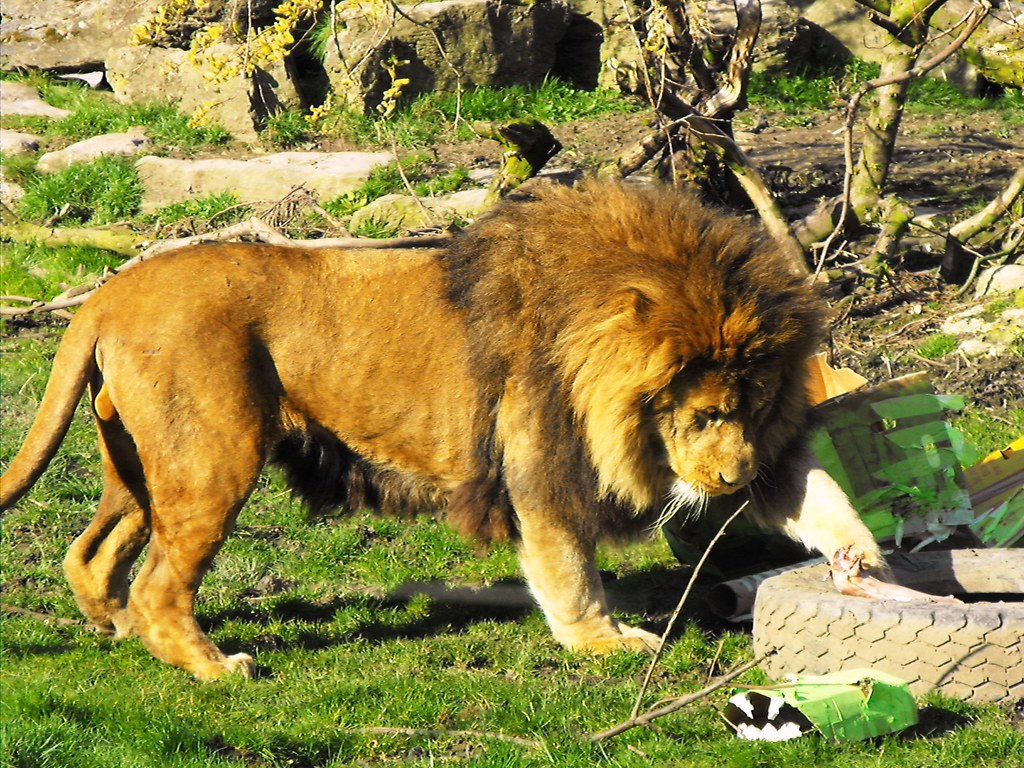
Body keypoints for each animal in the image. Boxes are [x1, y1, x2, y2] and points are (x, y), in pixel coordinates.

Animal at [0, 179, 884, 680]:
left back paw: (118, 627)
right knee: (158, 583)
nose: (732, 478)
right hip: (214, 457)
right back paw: (214, 668)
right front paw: (602, 643)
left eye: (753, 409)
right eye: (704, 415)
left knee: (91, 555)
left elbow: (814, 491)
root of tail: (107, 293)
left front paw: (864, 558)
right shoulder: (542, 462)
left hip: (141, 468)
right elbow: (570, 569)